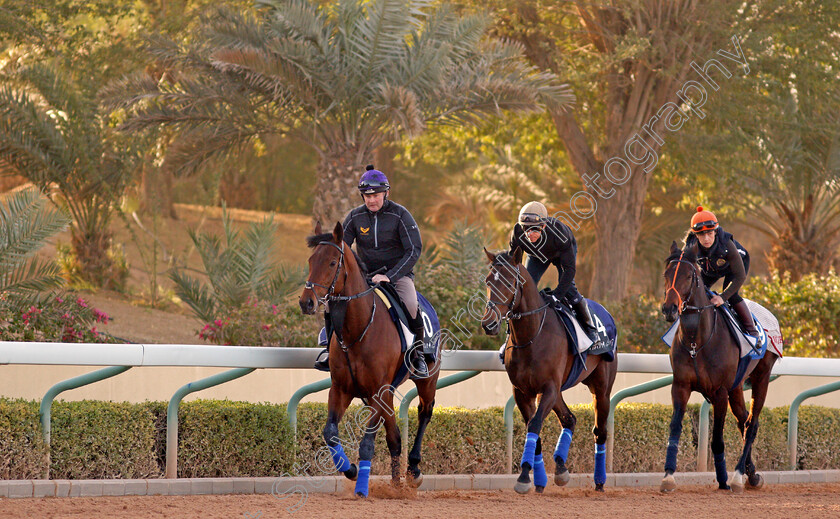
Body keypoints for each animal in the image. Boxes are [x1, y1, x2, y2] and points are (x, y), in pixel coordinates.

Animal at [296, 221, 440, 498]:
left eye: (332, 262)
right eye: (310, 260)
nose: (306, 302)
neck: (359, 329)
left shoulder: (378, 391)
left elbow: (366, 443)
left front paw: (361, 487)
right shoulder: (341, 389)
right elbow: (330, 433)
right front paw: (350, 469)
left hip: (427, 379)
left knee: (425, 411)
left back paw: (413, 470)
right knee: (395, 438)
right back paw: (396, 485)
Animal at [480, 249, 616, 496]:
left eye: (509, 282)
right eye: (487, 281)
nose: (489, 323)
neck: (532, 336)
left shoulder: (548, 388)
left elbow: (534, 424)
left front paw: (524, 476)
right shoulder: (523, 391)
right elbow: (532, 428)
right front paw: (538, 479)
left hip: (601, 389)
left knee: (599, 431)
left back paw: (600, 481)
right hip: (559, 390)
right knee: (569, 419)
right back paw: (561, 467)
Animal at [660, 242, 776, 494]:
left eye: (688, 276)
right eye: (666, 275)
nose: (669, 309)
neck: (697, 341)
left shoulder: (720, 391)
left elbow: (717, 439)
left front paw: (723, 479)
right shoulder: (681, 386)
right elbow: (675, 429)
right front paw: (668, 476)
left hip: (761, 377)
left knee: (752, 424)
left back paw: (738, 475)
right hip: (737, 386)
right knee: (743, 420)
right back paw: (752, 475)